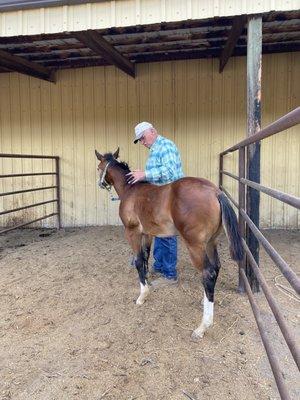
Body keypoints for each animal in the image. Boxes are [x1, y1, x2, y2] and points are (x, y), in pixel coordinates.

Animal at [96, 148, 244, 340]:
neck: (131, 190)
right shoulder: (147, 233)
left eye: (99, 168)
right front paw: (147, 280)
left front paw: (142, 296)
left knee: (208, 273)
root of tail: (215, 192)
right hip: (211, 242)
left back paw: (202, 326)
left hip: (195, 246)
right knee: (216, 268)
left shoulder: (132, 232)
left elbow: (138, 260)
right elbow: (146, 257)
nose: (100, 183)